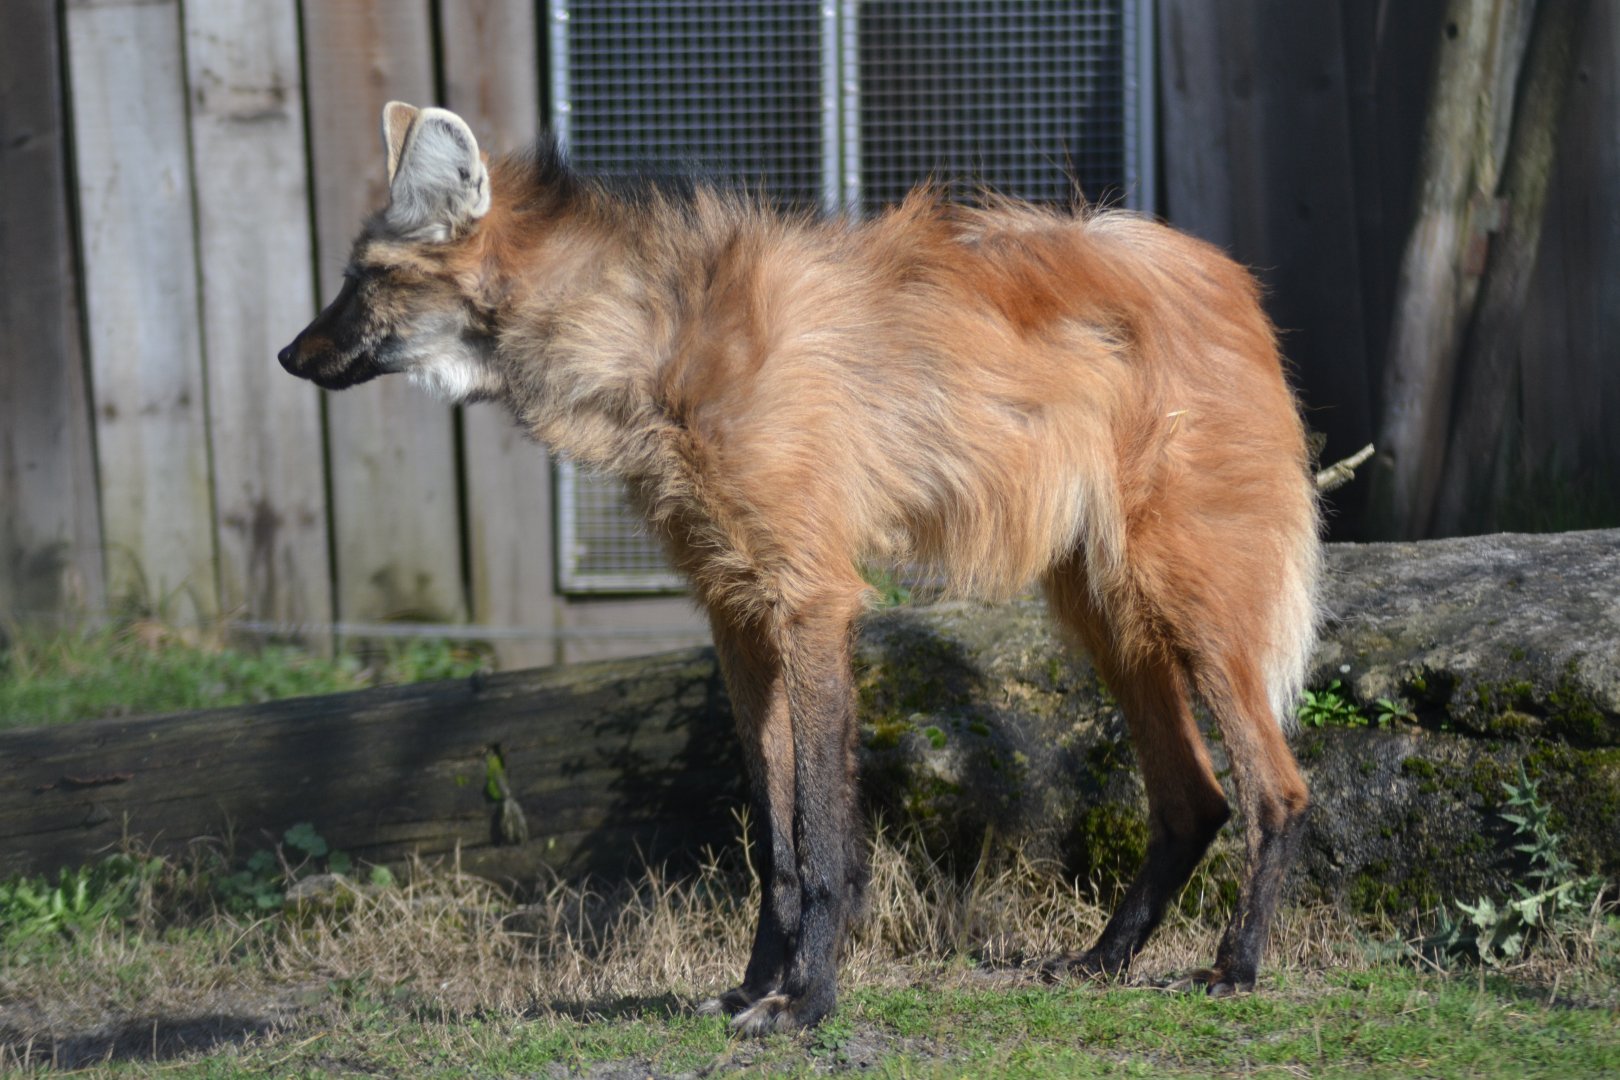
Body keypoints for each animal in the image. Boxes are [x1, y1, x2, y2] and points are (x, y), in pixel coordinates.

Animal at [279, 102, 1320, 1034]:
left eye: (362, 280)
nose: (290, 354)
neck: (657, 345)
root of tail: (1231, 276)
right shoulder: (736, 609)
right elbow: (774, 838)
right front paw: (752, 988)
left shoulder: (809, 596)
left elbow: (821, 835)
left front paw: (806, 1002)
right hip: (1101, 606)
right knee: (1193, 797)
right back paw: (1104, 959)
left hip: (1180, 591)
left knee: (1275, 787)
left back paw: (1235, 968)